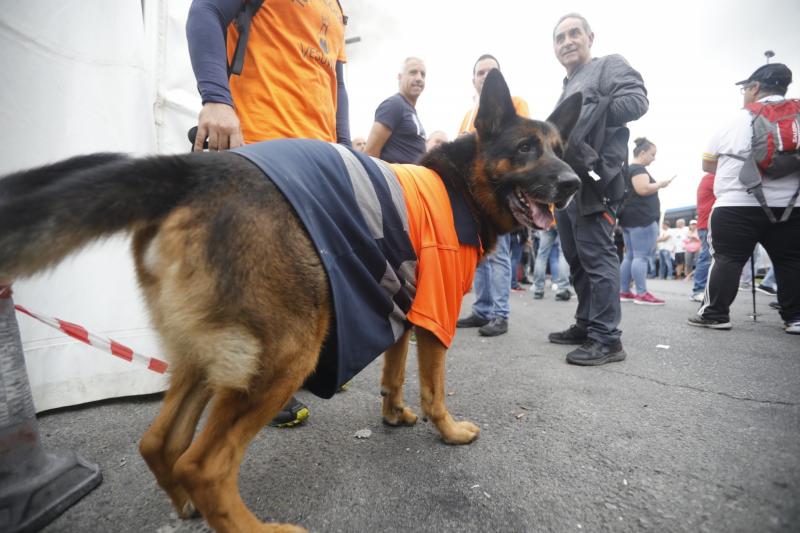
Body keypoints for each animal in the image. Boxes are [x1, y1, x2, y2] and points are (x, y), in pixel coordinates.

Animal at [0, 71, 580, 532]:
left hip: (209, 357)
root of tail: (197, 172)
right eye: (526, 149)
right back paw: (254, 526)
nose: (575, 183)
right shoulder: (433, 320)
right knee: (203, 465)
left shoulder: (401, 310)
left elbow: (393, 375)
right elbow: (435, 391)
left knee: (158, 442)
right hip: (287, 354)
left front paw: (394, 415)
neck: (460, 180)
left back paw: (186, 505)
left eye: (559, 149)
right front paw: (450, 431)